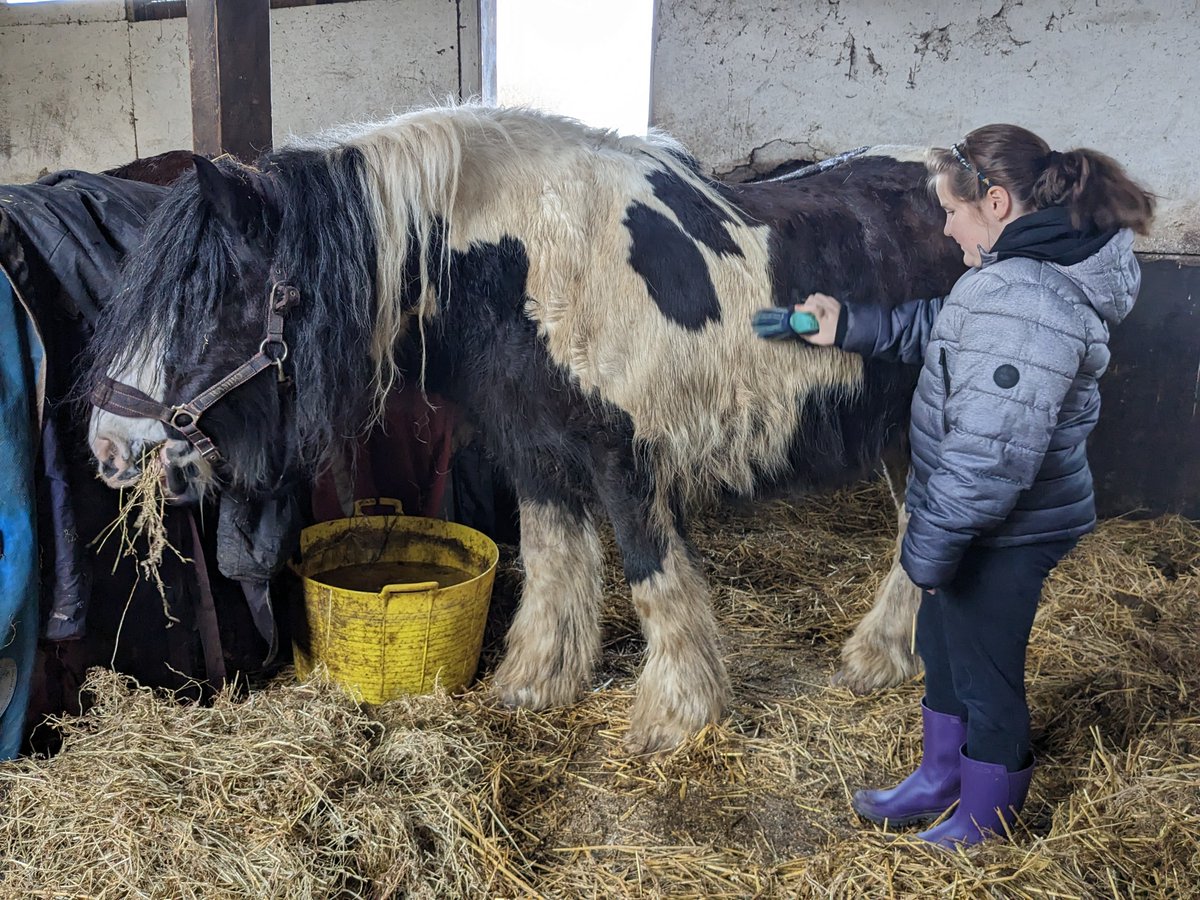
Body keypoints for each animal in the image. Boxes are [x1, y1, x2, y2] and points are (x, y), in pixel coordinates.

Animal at [86, 104, 965, 752]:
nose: (108, 445)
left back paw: (878, 658)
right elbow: (552, 560)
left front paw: (675, 716)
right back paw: (887, 654)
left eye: (208, 301)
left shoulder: (625, 457)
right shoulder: (533, 449)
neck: (531, 264)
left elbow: (651, 575)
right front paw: (537, 680)